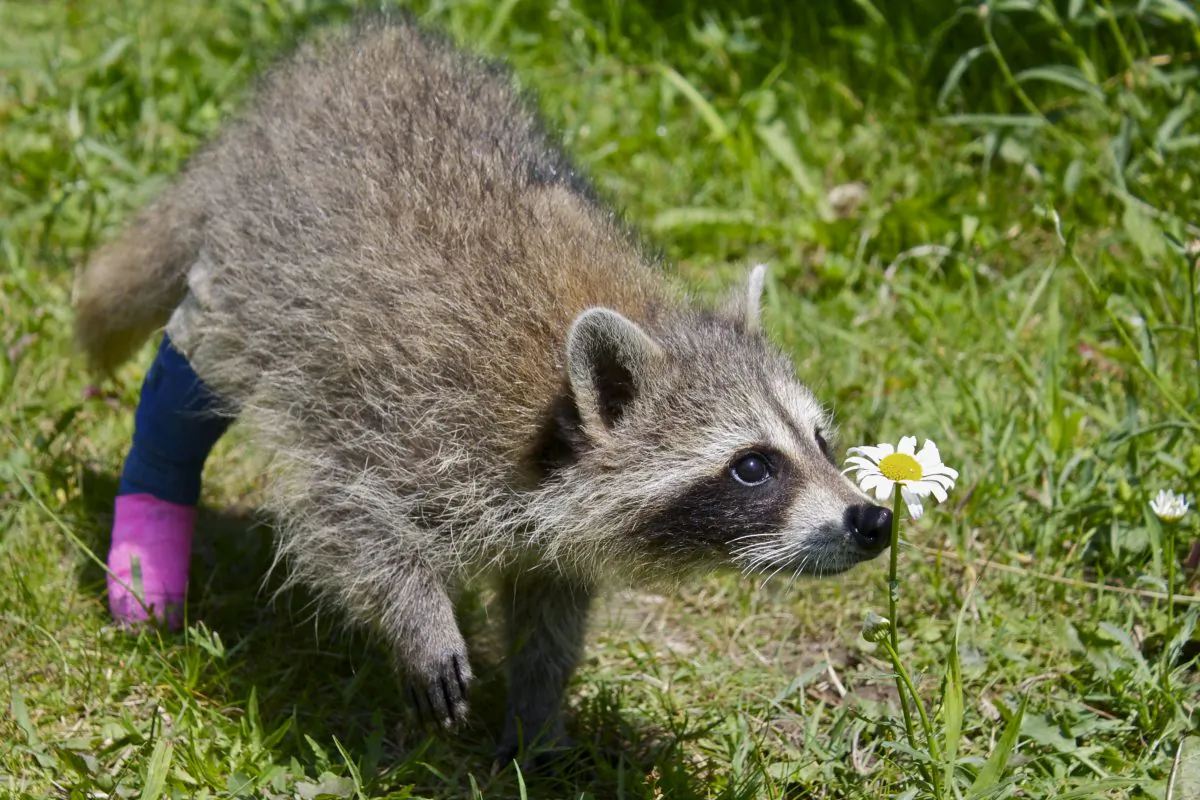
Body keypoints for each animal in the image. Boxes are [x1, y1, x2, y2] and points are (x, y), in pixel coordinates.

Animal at [73, 14, 893, 761]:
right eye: (752, 466)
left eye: (821, 441)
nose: (872, 519)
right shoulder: (409, 416)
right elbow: (347, 519)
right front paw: (419, 616)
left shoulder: (551, 519)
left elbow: (550, 605)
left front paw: (538, 704)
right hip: (259, 267)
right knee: (199, 351)